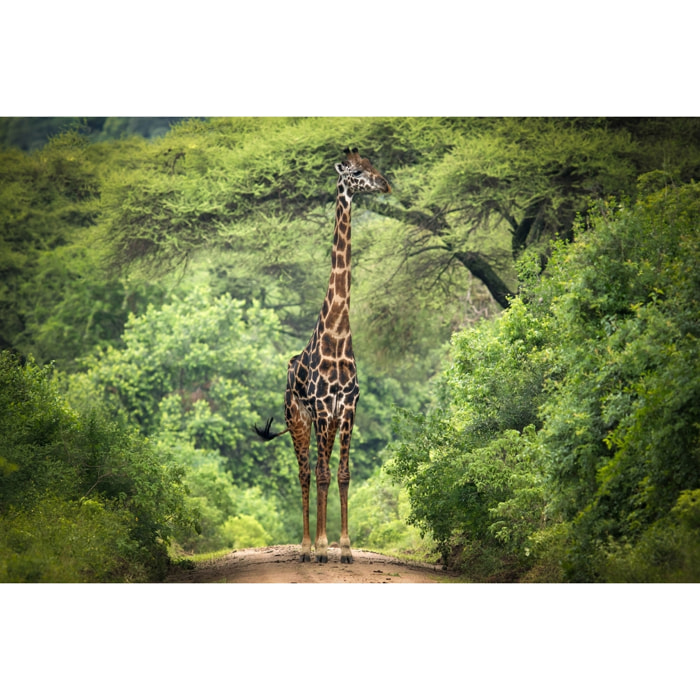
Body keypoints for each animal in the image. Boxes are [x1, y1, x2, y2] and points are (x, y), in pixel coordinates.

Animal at [254, 147, 391, 564]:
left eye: (373, 165)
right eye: (357, 173)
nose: (385, 184)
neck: (338, 335)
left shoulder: (347, 407)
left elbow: (342, 474)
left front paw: (343, 547)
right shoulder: (319, 408)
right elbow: (321, 473)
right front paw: (322, 547)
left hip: (324, 422)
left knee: (321, 470)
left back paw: (320, 544)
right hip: (298, 420)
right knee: (305, 472)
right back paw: (305, 547)